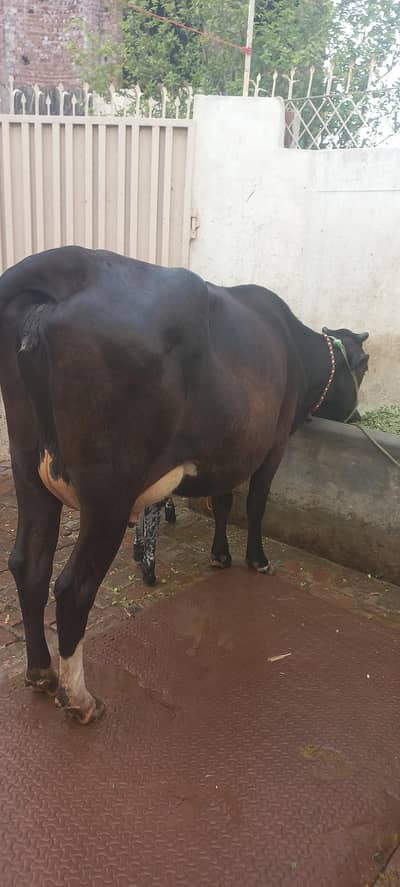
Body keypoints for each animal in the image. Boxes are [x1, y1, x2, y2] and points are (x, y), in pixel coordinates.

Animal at [0, 247, 369, 725]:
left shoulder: (228, 449)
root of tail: (73, 262)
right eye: (364, 366)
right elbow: (255, 504)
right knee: (72, 587)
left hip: (29, 469)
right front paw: (257, 560)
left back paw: (41, 673)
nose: (358, 416)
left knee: (30, 564)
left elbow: (223, 500)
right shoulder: (272, 444)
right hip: (109, 491)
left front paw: (220, 555)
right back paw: (79, 699)